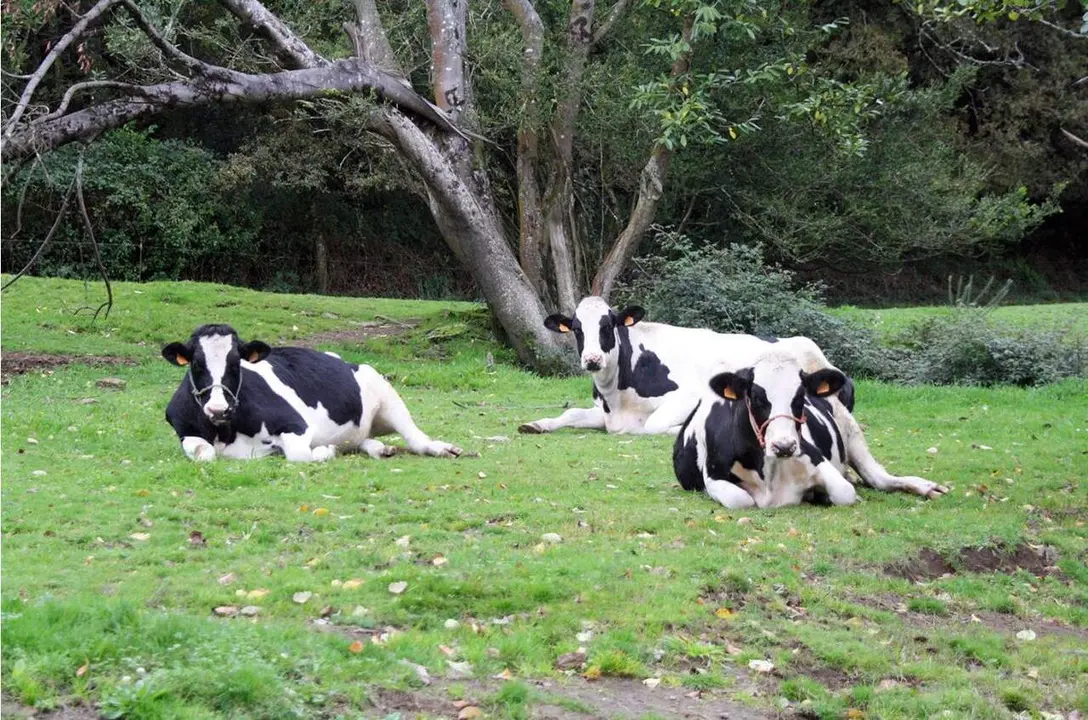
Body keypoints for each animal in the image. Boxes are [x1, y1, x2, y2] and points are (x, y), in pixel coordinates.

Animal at [162, 324, 462, 462]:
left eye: (236, 363)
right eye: (196, 363)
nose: (217, 409)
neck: (226, 432)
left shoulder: (296, 424)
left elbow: (300, 454)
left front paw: (324, 451)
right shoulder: (185, 431)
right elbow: (204, 452)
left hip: (386, 392)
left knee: (415, 437)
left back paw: (441, 448)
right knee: (360, 440)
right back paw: (379, 448)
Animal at [518, 296, 844, 436]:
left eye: (608, 325)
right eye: (576, 329)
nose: (592, 360)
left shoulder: (690, 394)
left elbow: (653, 425)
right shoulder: (606, 413)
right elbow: (570, 413)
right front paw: (536, 424)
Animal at [673, 350, 947, 508]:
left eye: (800, 396)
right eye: (756, 396)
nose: (784, 446)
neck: (769, 473)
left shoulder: (817, 459)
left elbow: (844, 492)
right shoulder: (714, 477)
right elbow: (741, 501)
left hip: (851, 432)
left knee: (879, 478)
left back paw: (926, 486)